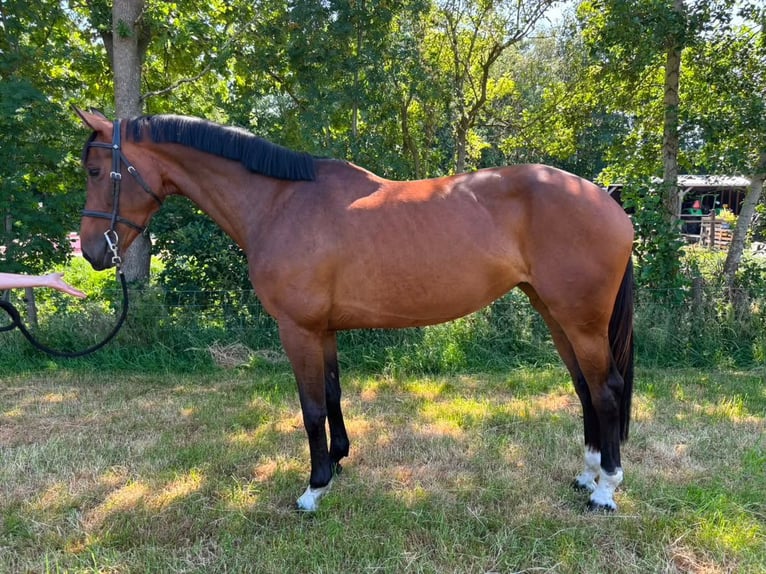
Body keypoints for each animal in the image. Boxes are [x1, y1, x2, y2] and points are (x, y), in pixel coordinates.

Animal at [74, 108, 634, 513]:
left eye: (97, 170)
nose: (92, 252)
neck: (279, 203)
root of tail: (605, 198)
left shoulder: (296, 329)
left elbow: (310, 408)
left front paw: (314, 488)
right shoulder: (322, 329)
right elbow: (333, 394)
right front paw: (339, 462)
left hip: (580, 320)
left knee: (606, 390)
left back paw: (605, 489)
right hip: (556, 314)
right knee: (584, 388)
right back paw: (586, 476)